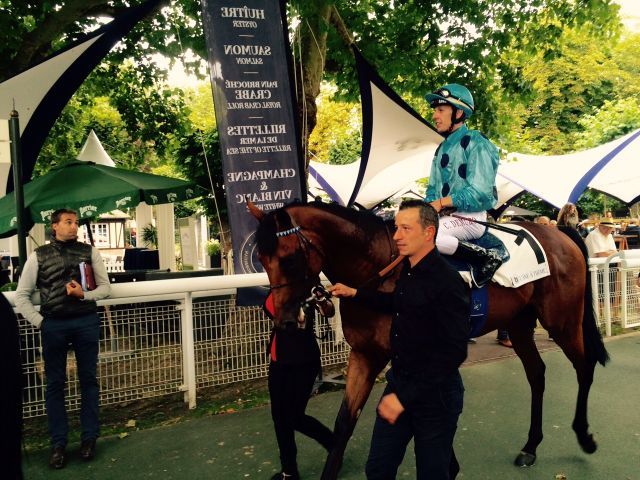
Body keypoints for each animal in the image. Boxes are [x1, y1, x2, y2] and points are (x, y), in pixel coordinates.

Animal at [248, 201, 608, 478]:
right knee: (537, 373)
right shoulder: (364, 354)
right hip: (519, 324)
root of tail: (559, 232)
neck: (381, 270)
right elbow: (344, 423)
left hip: (562, 320)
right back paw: (530, 447)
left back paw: (585, 436)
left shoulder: (408, 356)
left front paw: (449, 464)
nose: (284, 320)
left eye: (288, 259)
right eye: (262, 261)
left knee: (585, 365)